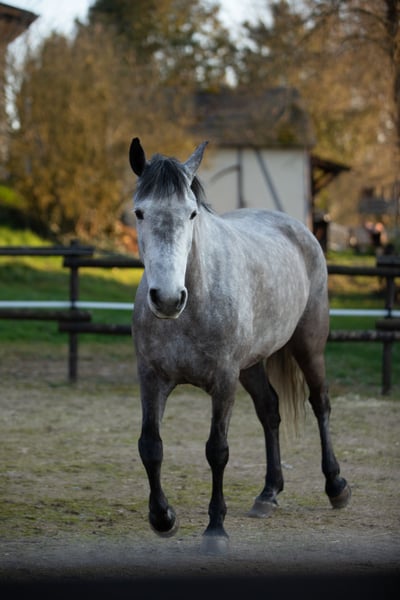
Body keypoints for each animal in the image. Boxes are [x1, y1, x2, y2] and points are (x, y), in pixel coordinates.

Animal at [129, 137, 351, 554]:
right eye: (139, 212)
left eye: (192, 213)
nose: (167, 299)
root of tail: (297, 228)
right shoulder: (151, 378)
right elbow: (150, 446)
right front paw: (163, 518)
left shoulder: (223, 381)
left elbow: (217, 450)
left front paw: (215, 529)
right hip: (252, 365)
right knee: (270, 411)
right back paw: (268, 494)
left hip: (308, 345)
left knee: (320, 404)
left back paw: (336, 486)